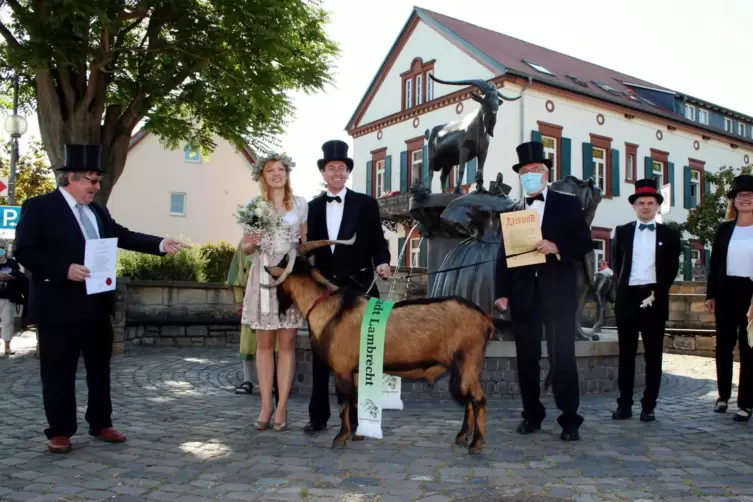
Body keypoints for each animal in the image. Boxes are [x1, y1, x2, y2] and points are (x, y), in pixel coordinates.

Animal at [260, 235, 512, 454]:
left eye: (280, 269)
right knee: (468, 399)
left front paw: (340, 438)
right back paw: (462, 437)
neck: (332, 309)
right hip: (466, 367)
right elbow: (355, 400)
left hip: (468, 360)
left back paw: (476, 444)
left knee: (477, 399)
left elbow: (343, 402)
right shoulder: (356, 370)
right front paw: (358, 433)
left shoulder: (342, 368)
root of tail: (485, 317)